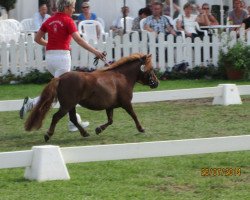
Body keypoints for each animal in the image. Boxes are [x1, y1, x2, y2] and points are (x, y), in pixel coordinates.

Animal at [24, 52, 158, 141]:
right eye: (151, 68)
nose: (156, 83)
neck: (122, 77)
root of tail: (61, 78)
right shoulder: (126, 103)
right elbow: (134, 115)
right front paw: (141, 128)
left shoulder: (110, 106)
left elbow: (110, 120)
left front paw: (98, 129)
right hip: (67, 105)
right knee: (56, 117)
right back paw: (48, 135)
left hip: (71, 105)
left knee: (73, 118)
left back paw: (85, 133)